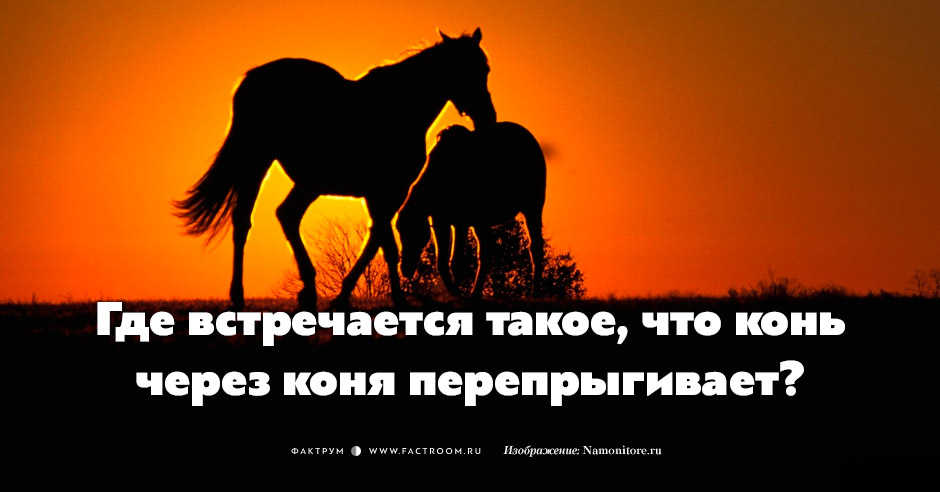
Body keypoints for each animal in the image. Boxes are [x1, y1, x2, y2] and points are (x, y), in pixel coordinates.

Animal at [174, 29, 496, 310]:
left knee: (279, 216)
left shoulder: (381, 195)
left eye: (486, 69)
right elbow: (386, 244)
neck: (399, 109)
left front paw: (344, 295)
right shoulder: (388, 192)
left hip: (306, 181)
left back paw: (303, 291)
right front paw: (396, 300)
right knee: (250, 220)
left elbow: (375, 241)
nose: (488, 117)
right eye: (471, 70)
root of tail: (253, 79)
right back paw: (246, 296)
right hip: (261, 162)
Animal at [397, 122, 546, 299]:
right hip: (482, 222)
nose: (404, 268)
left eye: (414, 233)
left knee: (535, 247)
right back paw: (475, 293)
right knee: (486, 251)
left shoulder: (461, 221)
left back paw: (534, 292)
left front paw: (458, 294)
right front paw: (454, 293)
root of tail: (532, 140)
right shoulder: (441, 221)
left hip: (532, 206)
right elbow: (442, 262)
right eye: (399, 232)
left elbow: (455, 261)